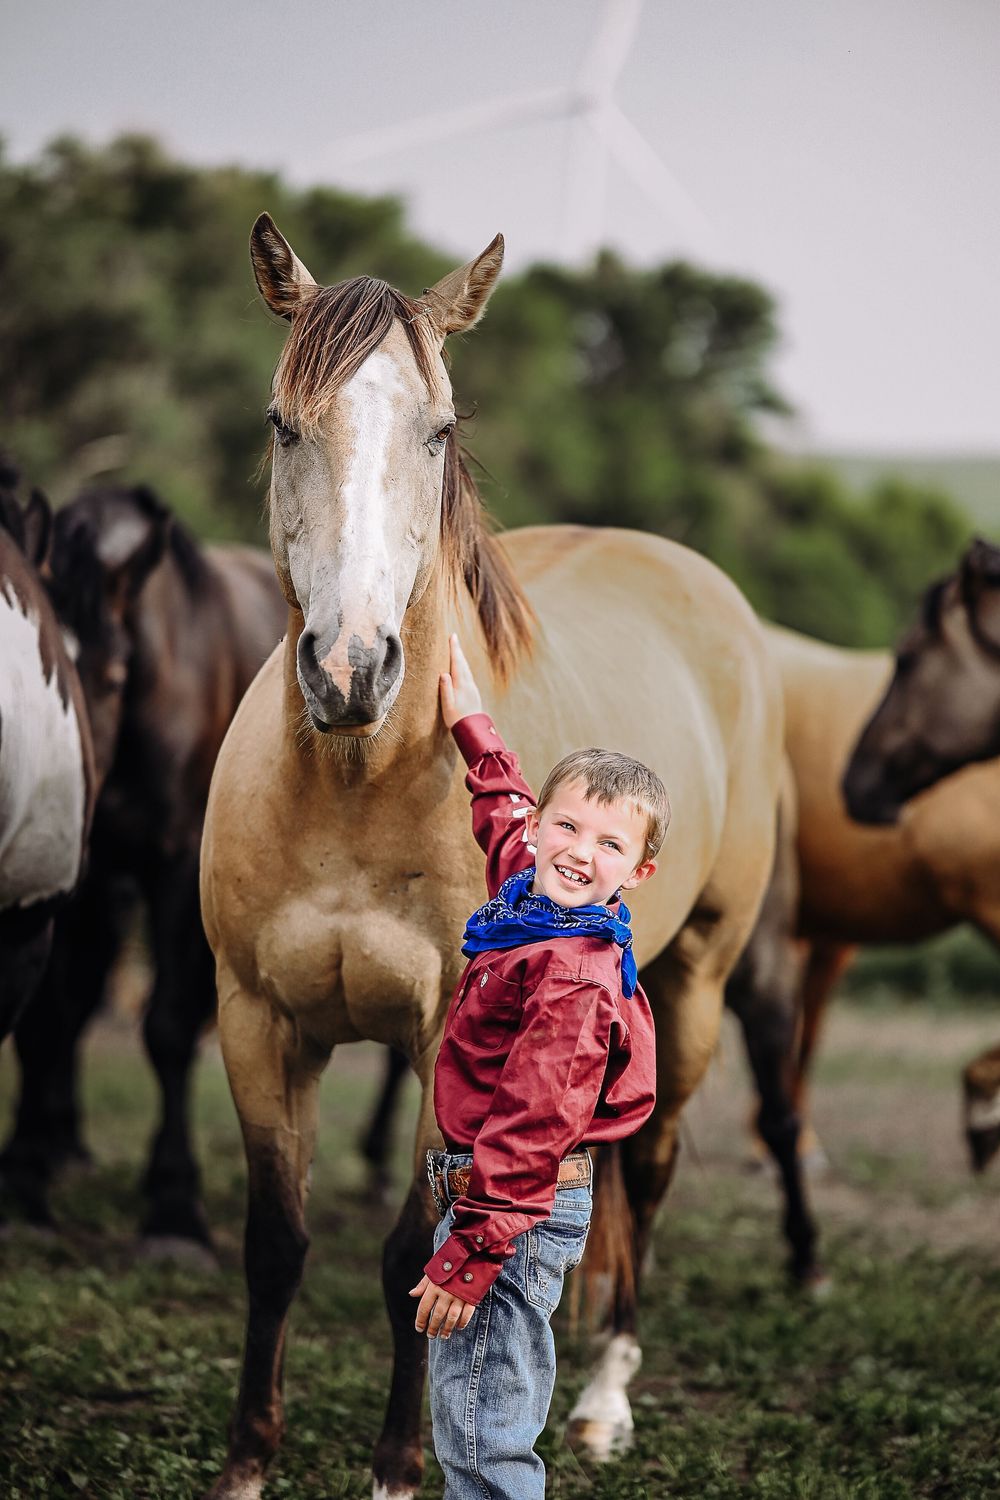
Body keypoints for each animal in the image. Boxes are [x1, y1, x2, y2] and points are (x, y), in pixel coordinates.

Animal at [1, 484, 287, 1249]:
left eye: (114, 675)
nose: (74, 788)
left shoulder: (176, 869)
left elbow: (166, 1026)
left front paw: (174, 1210)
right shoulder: (84, 880)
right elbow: (51, 1016)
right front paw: (28, 1179)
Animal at [198, 216, 785, 1499]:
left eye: (438, 429)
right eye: (283, 423)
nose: (352, 669)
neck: (356, 783)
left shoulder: (441, 1038)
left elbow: (411, 1258)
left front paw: (395, 1469)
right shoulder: (257, 1020)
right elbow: (273, 1244)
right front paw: (247, 1465)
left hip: (699, 984)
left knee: (648, 1176)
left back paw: (605, 1402)